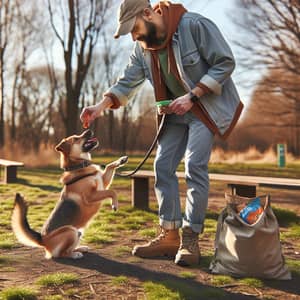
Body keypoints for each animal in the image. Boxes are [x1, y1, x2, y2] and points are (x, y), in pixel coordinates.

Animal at [11, 129, 126, 258]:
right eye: (76, 138)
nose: (89, 130)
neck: (78, 166)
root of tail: (42, 240)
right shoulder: (91, 196)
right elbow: (112, 191)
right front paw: (114, 204)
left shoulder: (103, 184)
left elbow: (109, 166)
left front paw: (121, 160)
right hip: (70, 231)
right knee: (62, 254)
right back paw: (75, 255)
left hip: (78, 232)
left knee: (69, 248)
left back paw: (80, 249)